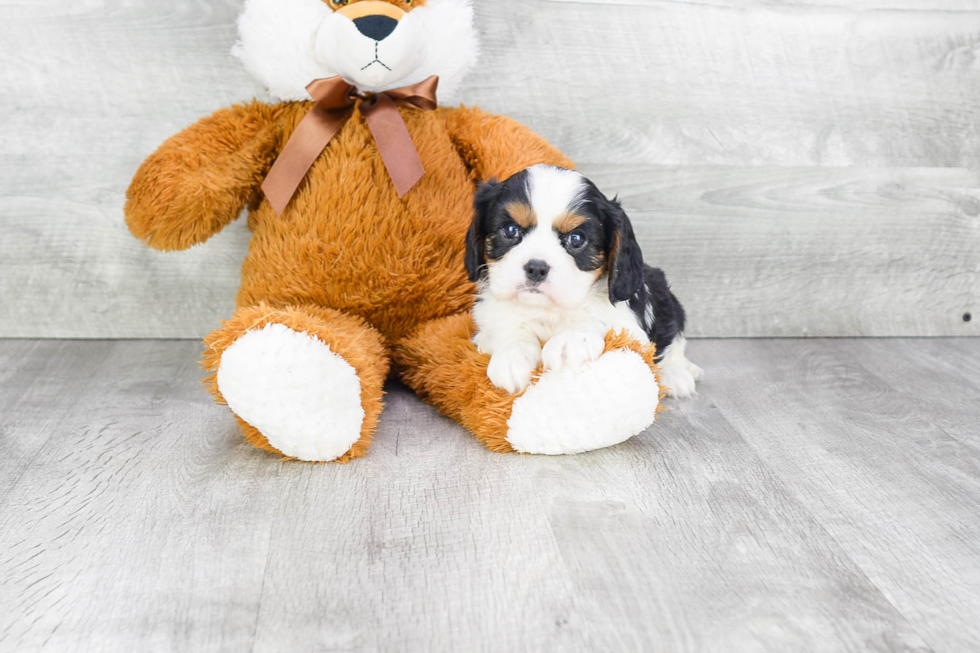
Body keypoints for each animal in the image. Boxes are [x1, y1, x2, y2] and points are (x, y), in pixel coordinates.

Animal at [466, 163, 700, 398]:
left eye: (576, 239)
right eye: (510, 230)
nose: (536, 268)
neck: (548, 311)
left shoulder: (632, 329)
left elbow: (601, 319)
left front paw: (570, 340)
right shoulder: (485, 323)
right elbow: (506, 326)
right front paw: (512, 355)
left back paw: (675, 375)